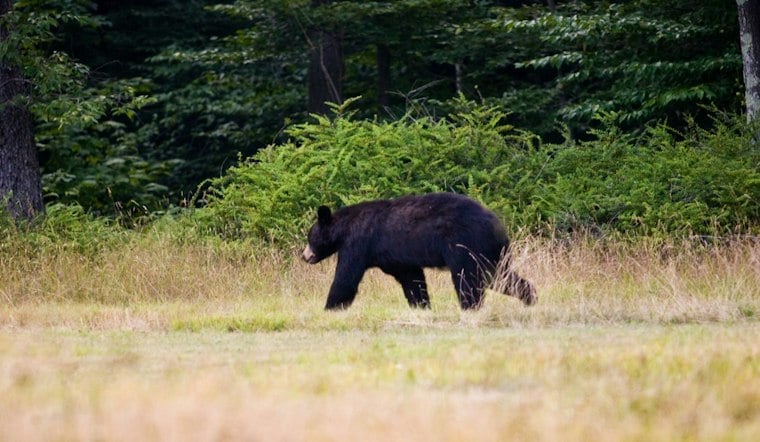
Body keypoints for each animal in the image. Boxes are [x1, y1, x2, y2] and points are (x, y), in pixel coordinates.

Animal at [301, 192, 537, 310]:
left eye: (310, 237)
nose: (305, 256)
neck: (343, 229)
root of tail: (497, 225)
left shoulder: (358, 243)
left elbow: (346, 277)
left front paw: (330, 308)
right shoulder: (396, 258)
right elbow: (411, 279)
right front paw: (421, 306)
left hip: (465, 244)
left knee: (467, 278)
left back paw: (469, 307)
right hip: (490, 252)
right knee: (499, 276)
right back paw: (530, 297)